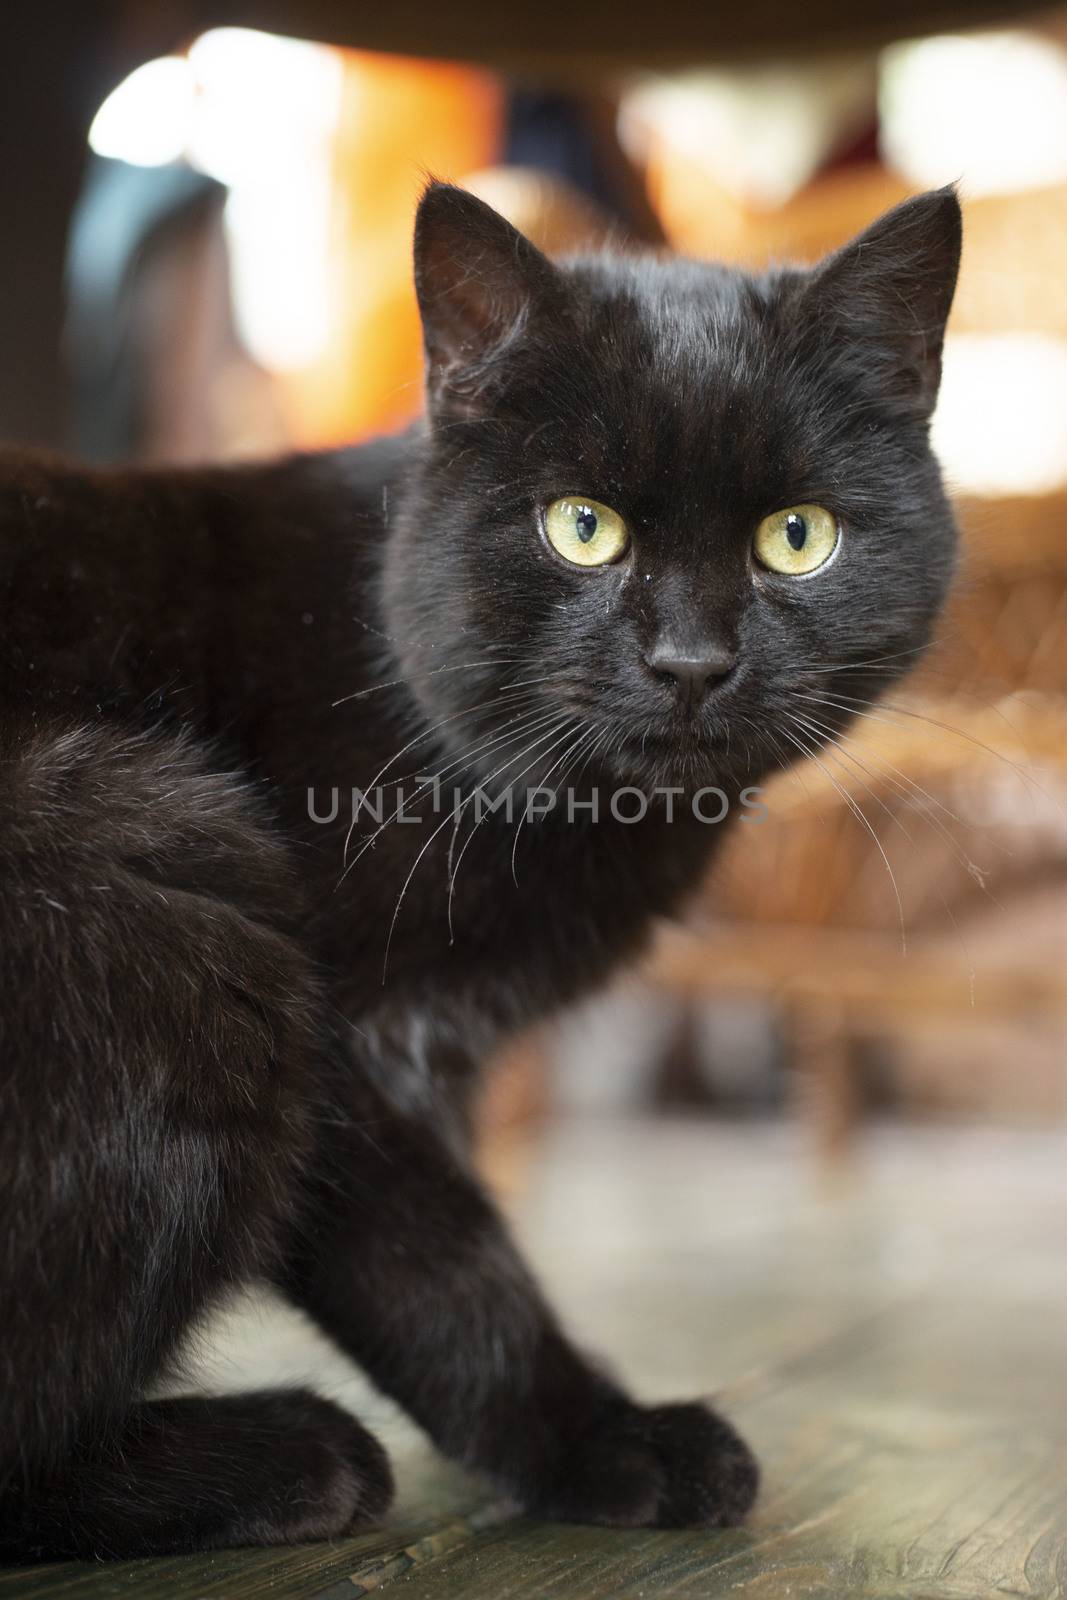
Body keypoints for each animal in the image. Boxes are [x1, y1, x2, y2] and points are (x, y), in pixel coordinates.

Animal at [0, 181, 959, 1555]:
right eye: (580, 527)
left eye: (796, 538)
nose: (688, 660)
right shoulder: (353, 1043)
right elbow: (442, 1263)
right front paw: (603, 1441)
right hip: (158, 879)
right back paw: (278, 1459)